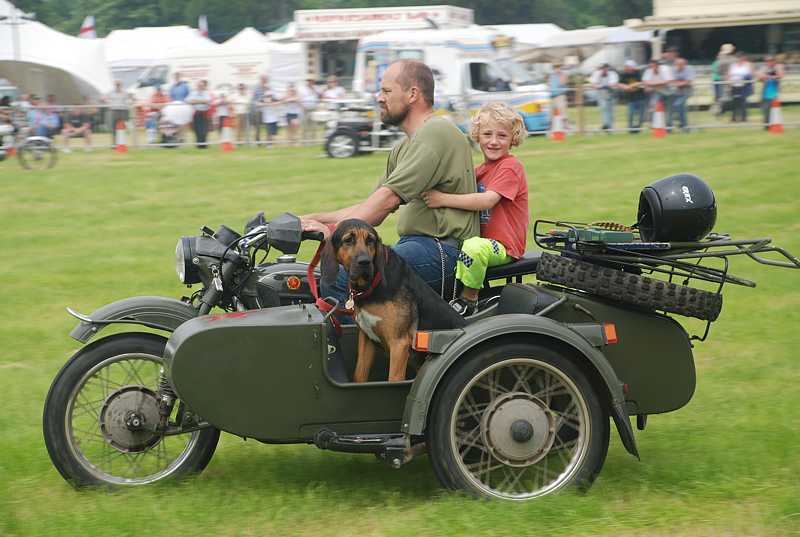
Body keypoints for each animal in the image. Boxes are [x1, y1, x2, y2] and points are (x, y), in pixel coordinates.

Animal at [322, 218, 466, 382]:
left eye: (370, 240)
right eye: (348, 240)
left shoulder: (399, 344)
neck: (372, 285)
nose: (365, 262)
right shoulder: (366, 338)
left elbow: (394, 378)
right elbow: (359, 375)